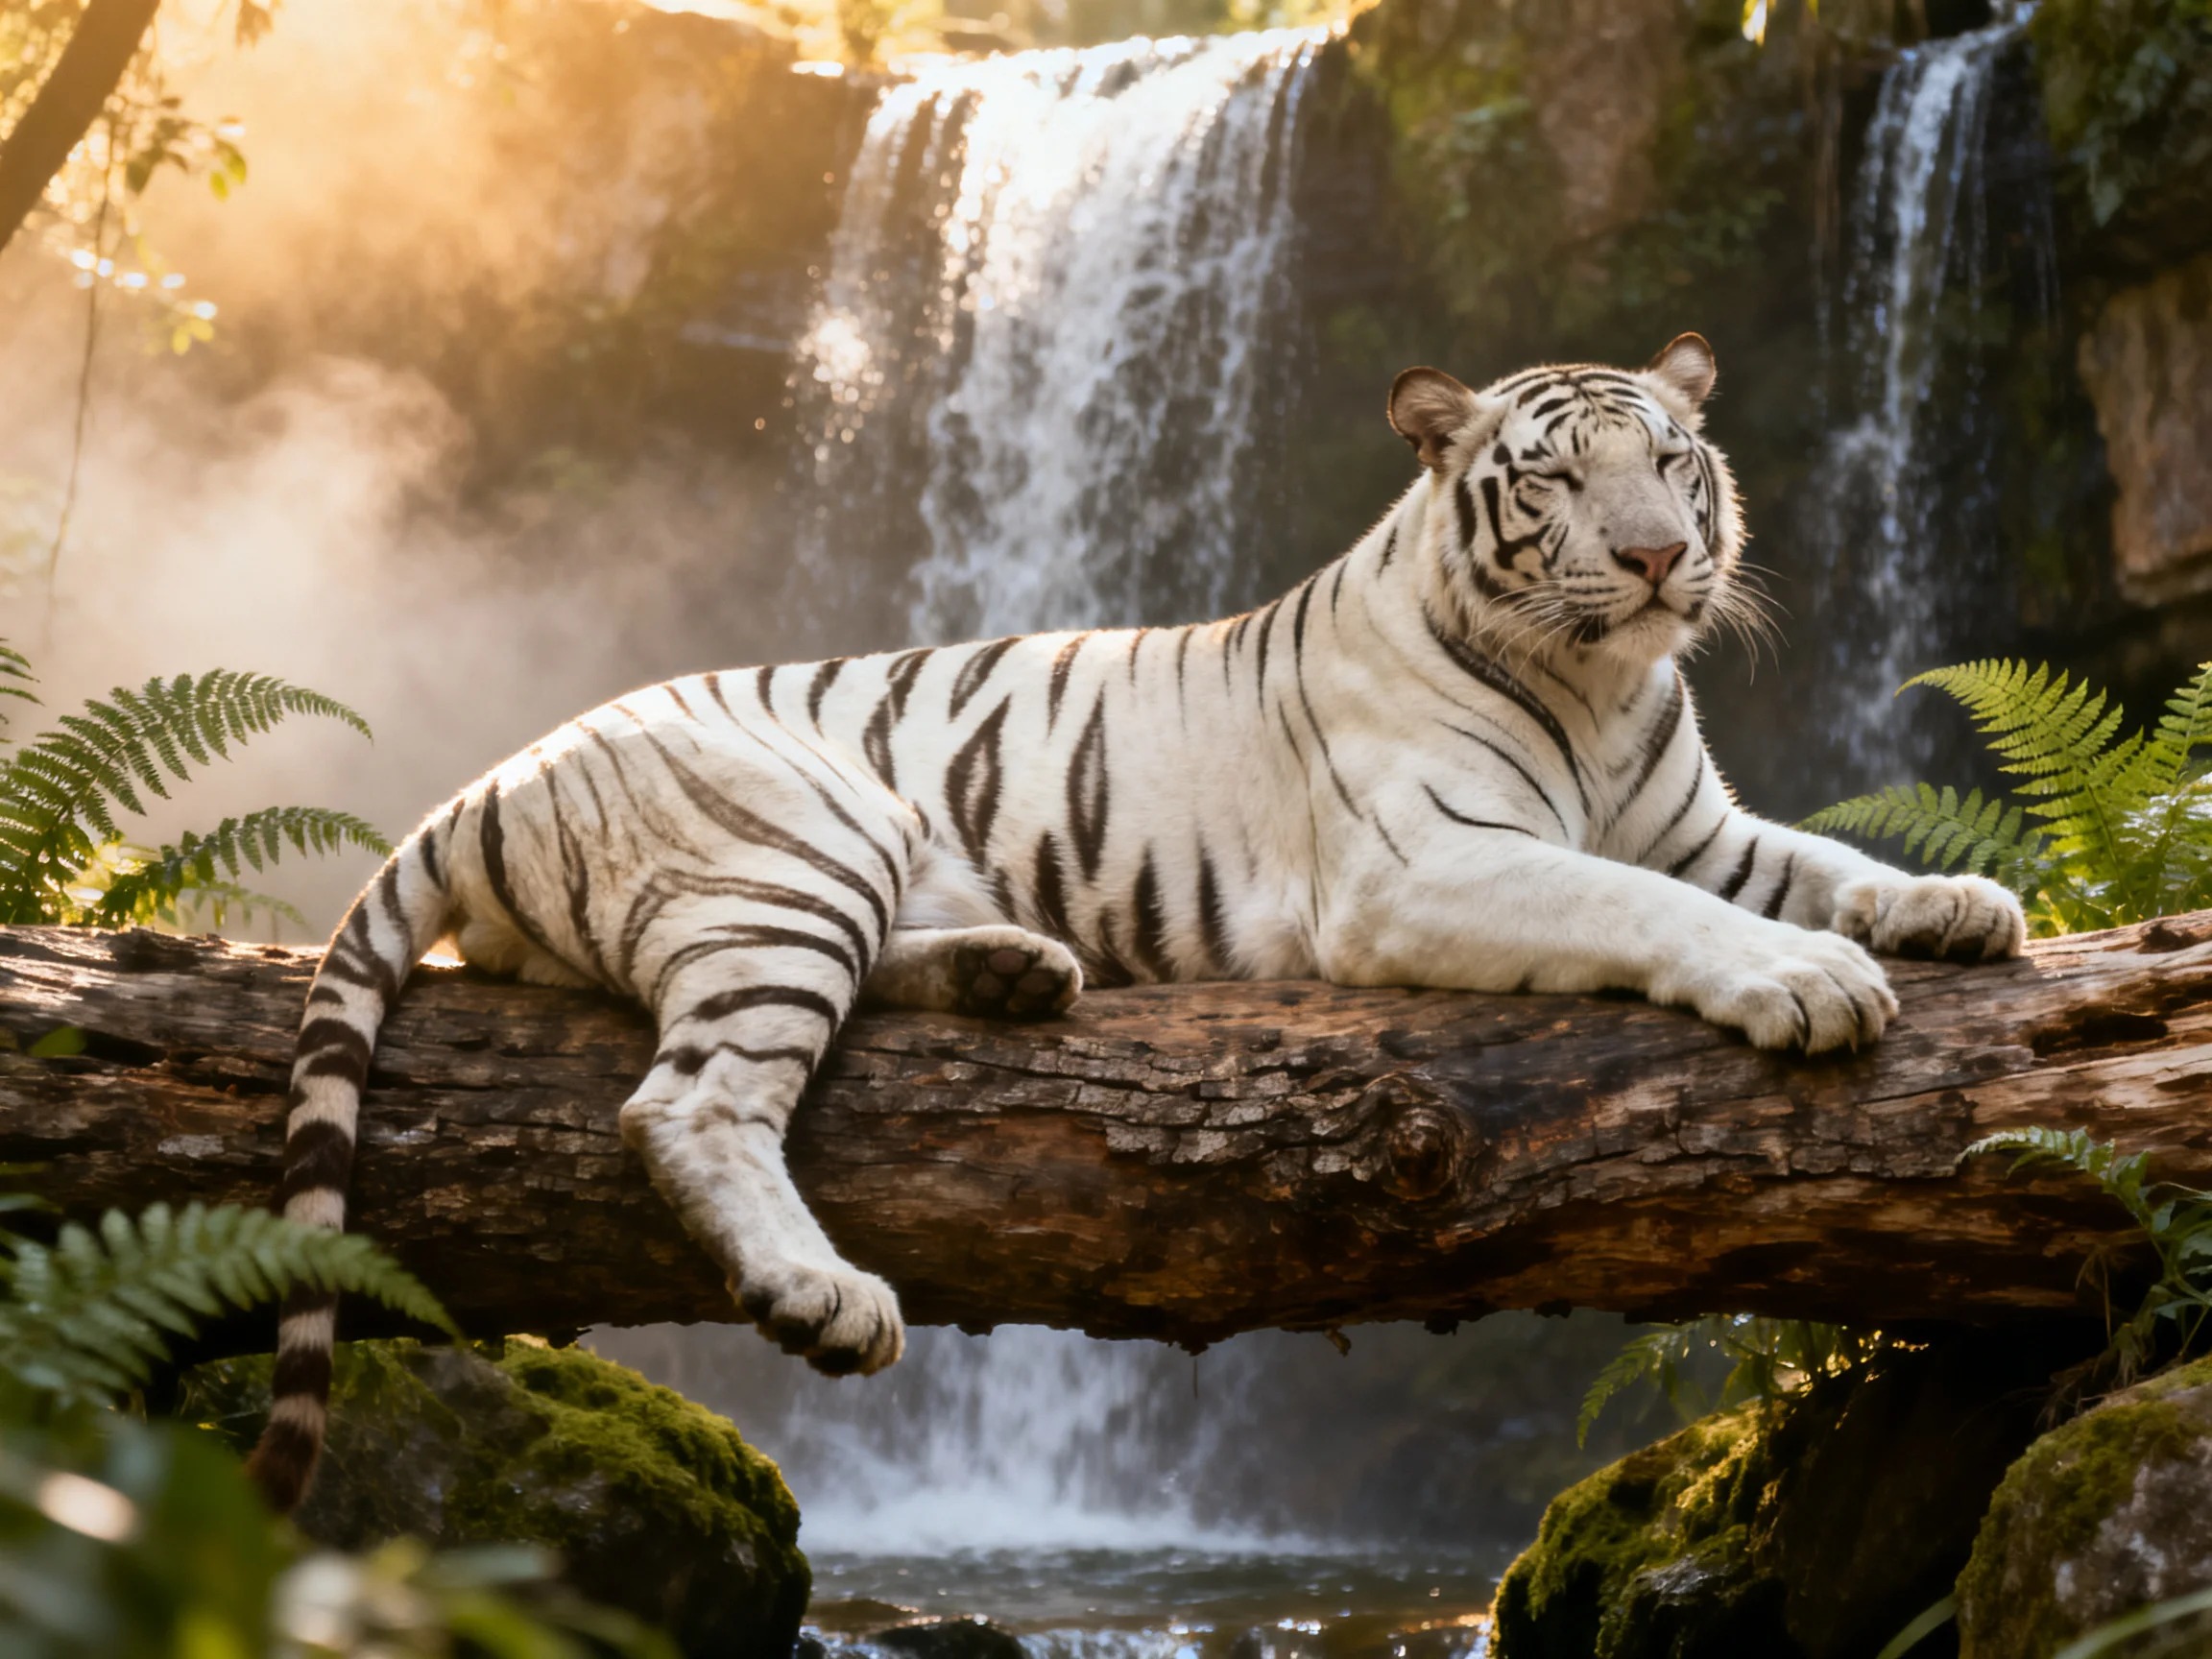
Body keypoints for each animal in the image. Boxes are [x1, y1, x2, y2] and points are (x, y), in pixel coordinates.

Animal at [247, 333, 2026, 1510]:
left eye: (1671, 463)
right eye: (1555, 479)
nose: (1659, 559)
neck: (1602, 688)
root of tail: (496, 773)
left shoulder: (1701, 825)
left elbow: (1818, 859)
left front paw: (1958, 903)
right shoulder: (1425, 860)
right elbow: (1637, 900)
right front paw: (1806, 981)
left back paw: (1015, 968)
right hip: (800, 851)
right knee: (685, 1102)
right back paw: (825, 1292)